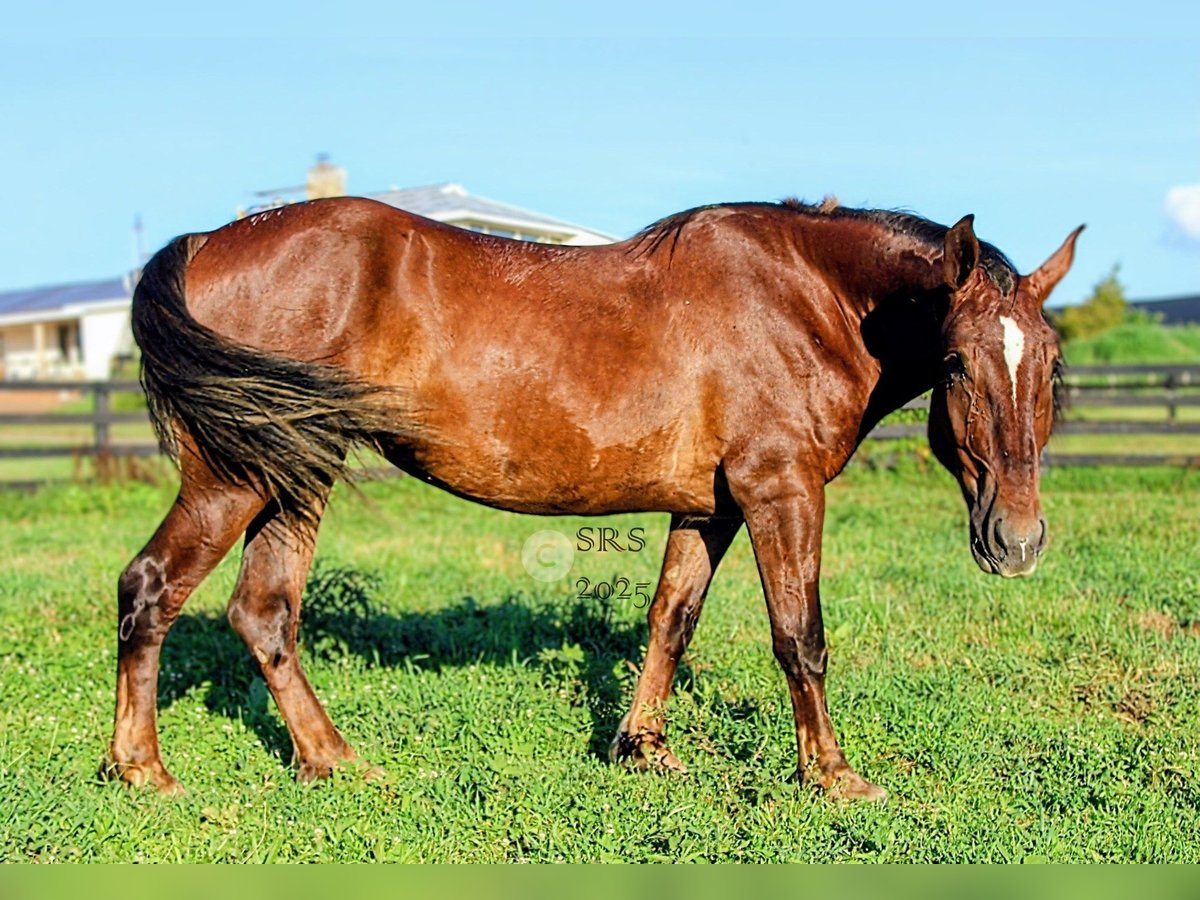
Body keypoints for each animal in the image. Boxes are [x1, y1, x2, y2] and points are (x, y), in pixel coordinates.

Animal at [105, 195, 1082, 801]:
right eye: (956, 362)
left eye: (1051, 360)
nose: (1018, 540)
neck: (805, 300)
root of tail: (205, 242)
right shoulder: (779, 491)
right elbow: (800, 638)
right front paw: (832, 777)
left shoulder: (711, 507)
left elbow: (670, 620)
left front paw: (643, 749)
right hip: (237, 478)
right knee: (151, 589)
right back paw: (143, 771)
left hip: (294, 473)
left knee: (263, 613)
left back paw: (335, 761)